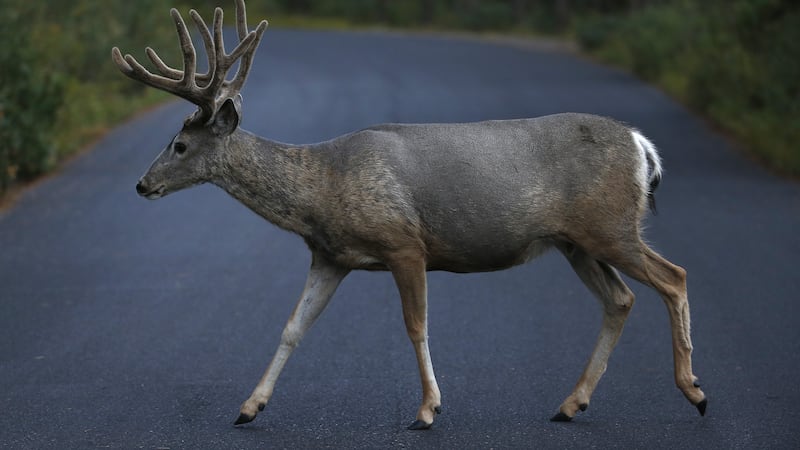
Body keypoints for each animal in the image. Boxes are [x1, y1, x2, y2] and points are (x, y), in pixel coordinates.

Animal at [111, 0, 707, 430]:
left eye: (180, 144)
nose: (142, 184)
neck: (322, 189)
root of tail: (642, 147)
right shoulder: (330, 256)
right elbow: (292, 327)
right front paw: (248, 407)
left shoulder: (404, 243)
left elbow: (415, 325)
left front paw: (427, 410)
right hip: (575, 241)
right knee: (621, 299)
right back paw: (570, 403)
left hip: (609, 226)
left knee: (673, 276)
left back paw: (694, 390)